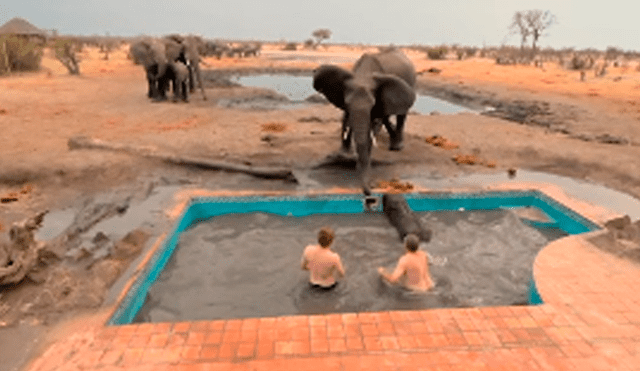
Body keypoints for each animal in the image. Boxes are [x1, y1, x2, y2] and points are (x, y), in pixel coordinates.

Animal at [312, 48, 418, 196]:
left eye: (372, 103)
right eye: (347, 103)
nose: (369, 191)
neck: (363, 74)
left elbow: (374, 125)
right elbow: (346, 118)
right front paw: (344, 154)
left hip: (411, 82)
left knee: (401, 115)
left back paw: (396, 147)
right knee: (386, 116)